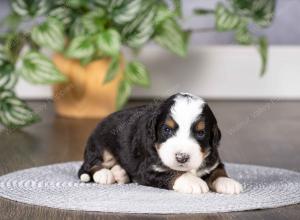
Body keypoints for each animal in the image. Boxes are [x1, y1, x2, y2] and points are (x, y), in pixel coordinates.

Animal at [78, 93, 243, 194]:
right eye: (167, 129)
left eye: (201, 132)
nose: (182, 157)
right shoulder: (148, 169)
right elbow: (173, 172)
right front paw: (193, 182)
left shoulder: (213, 160)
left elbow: (219, 171)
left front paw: (228, 182)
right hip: (100, 145)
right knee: (89, 165)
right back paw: (104, 174)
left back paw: (120, 173)